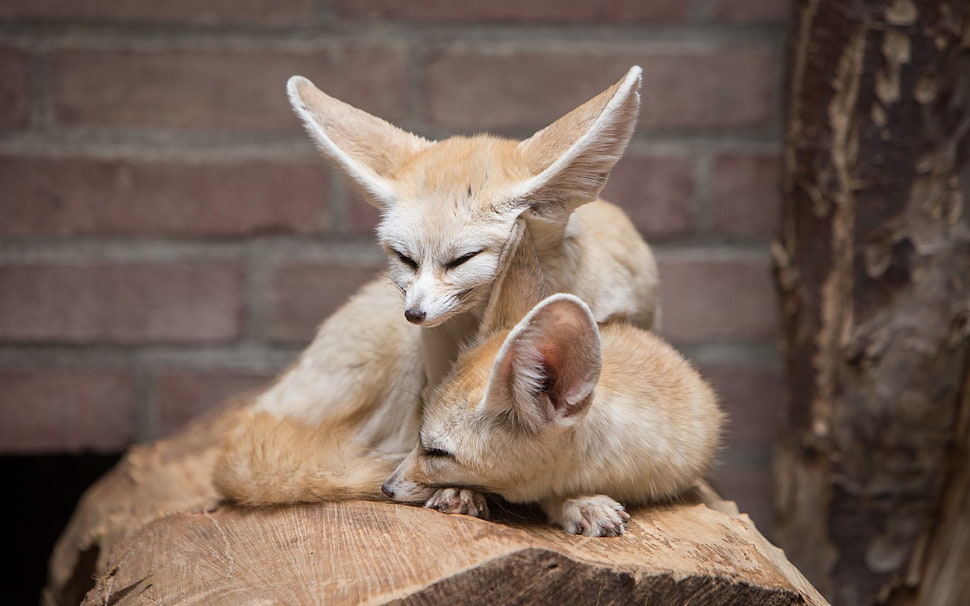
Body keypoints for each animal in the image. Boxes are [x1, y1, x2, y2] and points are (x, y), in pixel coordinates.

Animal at [214, 67, 661, 507]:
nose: (414, 314)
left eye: (462, 259)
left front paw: (578, 500)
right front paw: (457, 485)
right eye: (405, 258)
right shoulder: (435, 368)